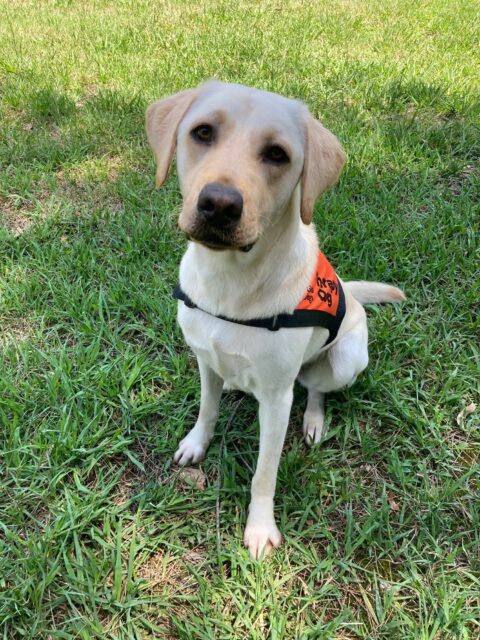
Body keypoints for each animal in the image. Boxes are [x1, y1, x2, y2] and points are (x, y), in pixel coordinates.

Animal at [146, 81, 404, 560]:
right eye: (202, 132)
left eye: (277, 154)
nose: (219, 204)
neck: (230, 282)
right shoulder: (204, 360)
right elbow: (207, 409)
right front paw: (196, 443)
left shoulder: (277, 398)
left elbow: (264, 472)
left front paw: (260, 527)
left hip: (345, 361)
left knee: (317, 387)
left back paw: (315, 421)